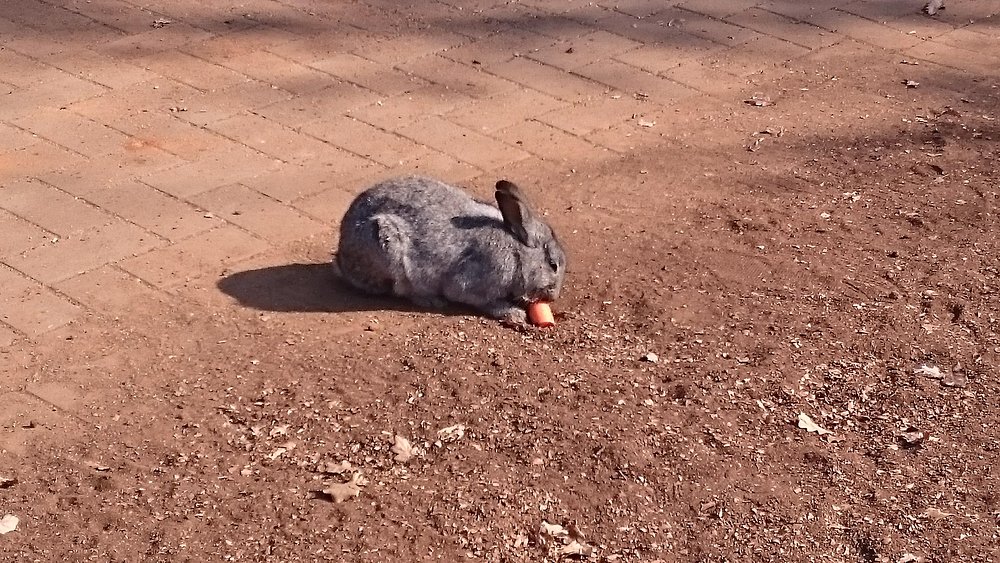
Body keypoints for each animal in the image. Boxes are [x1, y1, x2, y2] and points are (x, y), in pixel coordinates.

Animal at [333, 176, 566, 324]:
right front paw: (514, 314)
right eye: (553, 265)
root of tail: (342, 258)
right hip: (387, 246)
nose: (553, 297)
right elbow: (487, 301)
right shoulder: (475, 282)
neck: (517, 251)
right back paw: (432, 301)